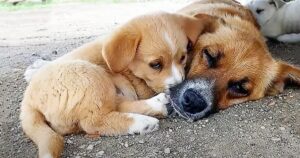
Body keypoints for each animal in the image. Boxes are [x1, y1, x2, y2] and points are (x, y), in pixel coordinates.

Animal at [19, 11, 216, 157]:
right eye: (156, 64)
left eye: (183, 57)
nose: (176, 87)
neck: (127, 67)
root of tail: (28, 101)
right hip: (90, 76)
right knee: (93, 121)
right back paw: (142, 122)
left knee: (116, 105)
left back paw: (158, 105)